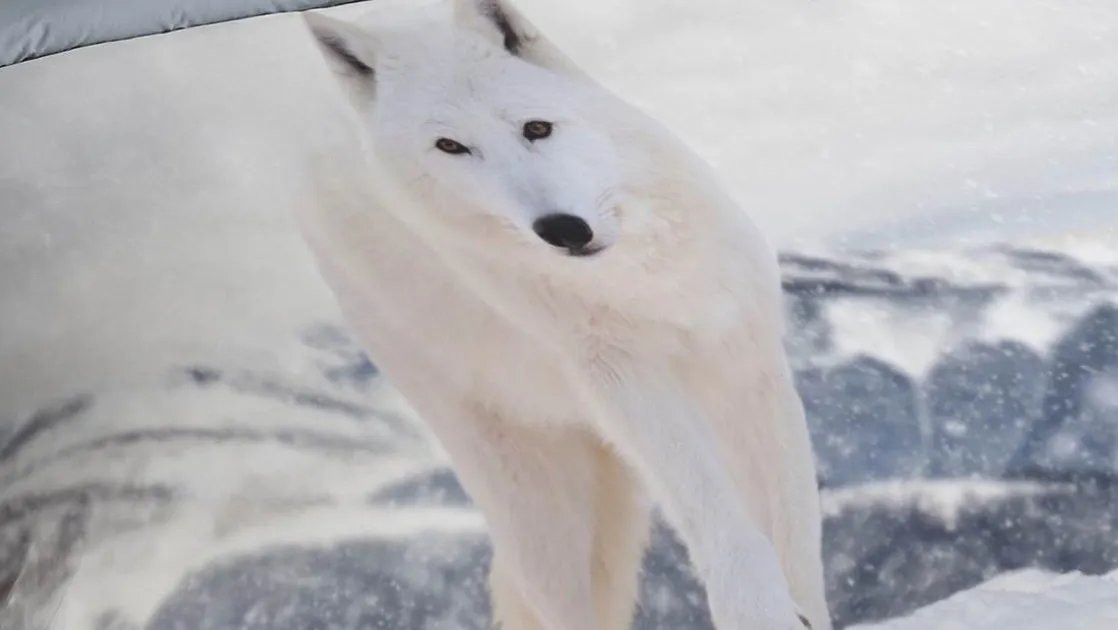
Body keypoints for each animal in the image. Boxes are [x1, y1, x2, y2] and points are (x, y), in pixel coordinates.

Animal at [295, 1, 831, 629]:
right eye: (450, 146)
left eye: (536, 128)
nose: (562, 230)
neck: (644, 277)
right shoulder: (622, 378)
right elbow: (716, 512)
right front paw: (758, 609)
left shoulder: (746, 364)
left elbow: (796, 534)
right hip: (540, 514)